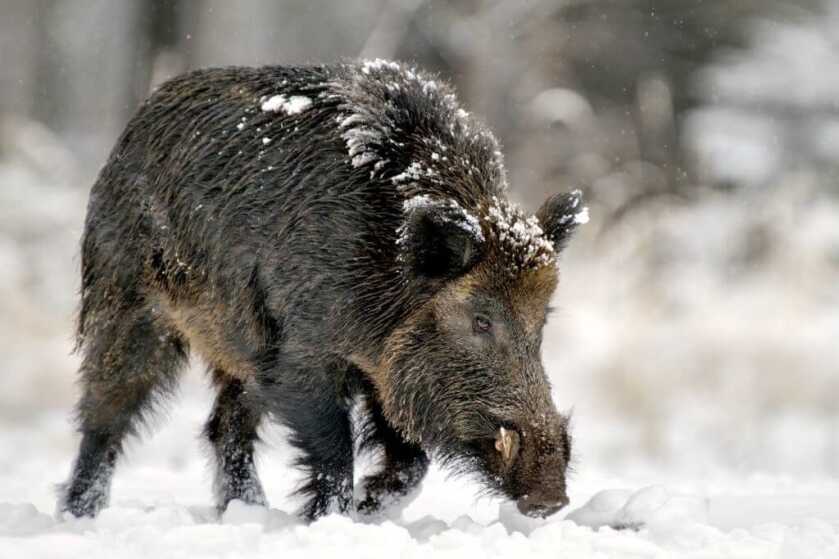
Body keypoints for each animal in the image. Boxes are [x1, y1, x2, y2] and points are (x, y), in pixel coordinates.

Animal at [59, 59, 588, 521]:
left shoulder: (380, 374)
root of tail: (136, 124)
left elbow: (412, 463)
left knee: (223, 426)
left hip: (243, 348)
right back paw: (79, 514)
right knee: (105, 414)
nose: (551, 497)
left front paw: (370, 507)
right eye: (481, 319)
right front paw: (337, 516)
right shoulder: (302, 358)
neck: (385, 264)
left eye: (541, 323)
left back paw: (249, 512)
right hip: (128, 303)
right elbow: (336, 452)